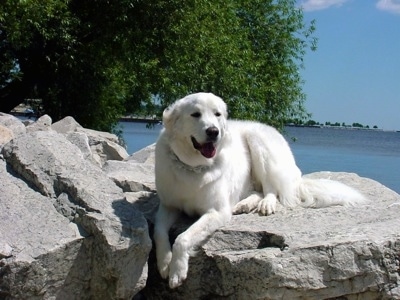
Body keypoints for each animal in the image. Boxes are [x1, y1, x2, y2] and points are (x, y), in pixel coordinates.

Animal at [153, 92, 366, 288]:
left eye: (217, 114)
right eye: (195, 114)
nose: (213, 131)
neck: (193, 167)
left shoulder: (217, 212)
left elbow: (183, 238)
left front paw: (177, 271)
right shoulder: (168, 206)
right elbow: (158, 231)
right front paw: (164, 263)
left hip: (259, 144)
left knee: (270, 189)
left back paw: (265, 204)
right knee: (258, 190)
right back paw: (245, 204)